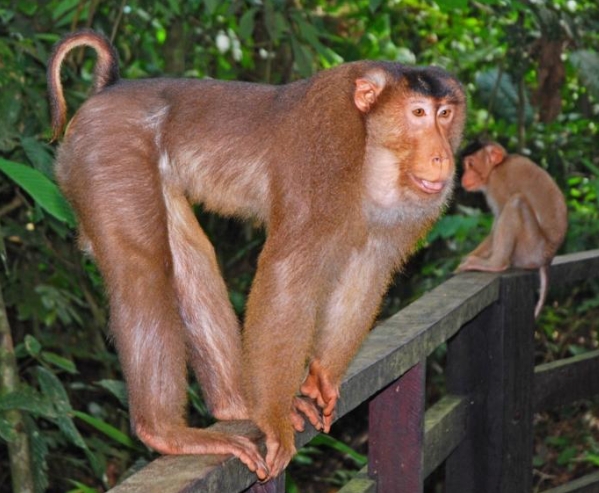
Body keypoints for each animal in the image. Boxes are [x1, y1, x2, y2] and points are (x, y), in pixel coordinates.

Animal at [47, 28, 468, 478]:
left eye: (445, 114)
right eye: (418, 113)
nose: (441, 156)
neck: (373, 149)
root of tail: (110, 89)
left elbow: (368, 268)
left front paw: (321, 376)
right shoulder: (325, 142)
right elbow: (288, 269)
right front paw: (273, 417)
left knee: (189, 257)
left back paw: (235, 404)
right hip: (109, 152)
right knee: (141, 268)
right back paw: (165, 431)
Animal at [458, 139, 568, 316]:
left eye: (471, 164)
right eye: (466, 165)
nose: (464, 176)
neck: (497, 168)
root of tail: (547, 259)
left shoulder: (497, 184)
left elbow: (498, 220)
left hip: (531, 250)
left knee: (516, 202)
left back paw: (496, 264)